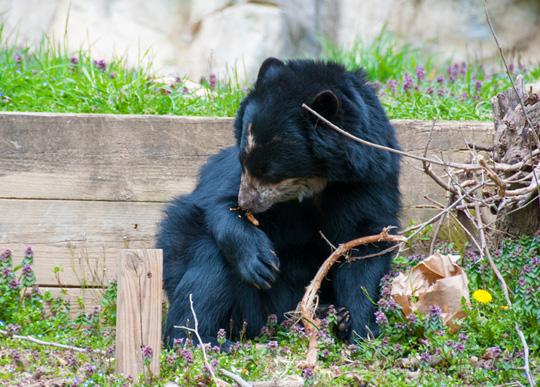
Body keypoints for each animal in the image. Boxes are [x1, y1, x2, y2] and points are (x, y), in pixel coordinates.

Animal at [156, 57, 400, 346]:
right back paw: (202, 341)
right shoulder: (226, 179)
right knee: (207, 269)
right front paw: (260, 262)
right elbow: (215, 202)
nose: (246, 203)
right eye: (243, 160)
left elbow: (364, 245)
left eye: (271, 172)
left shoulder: (368, 179)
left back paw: (330, 315)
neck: (317, 183)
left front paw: (359, 330)